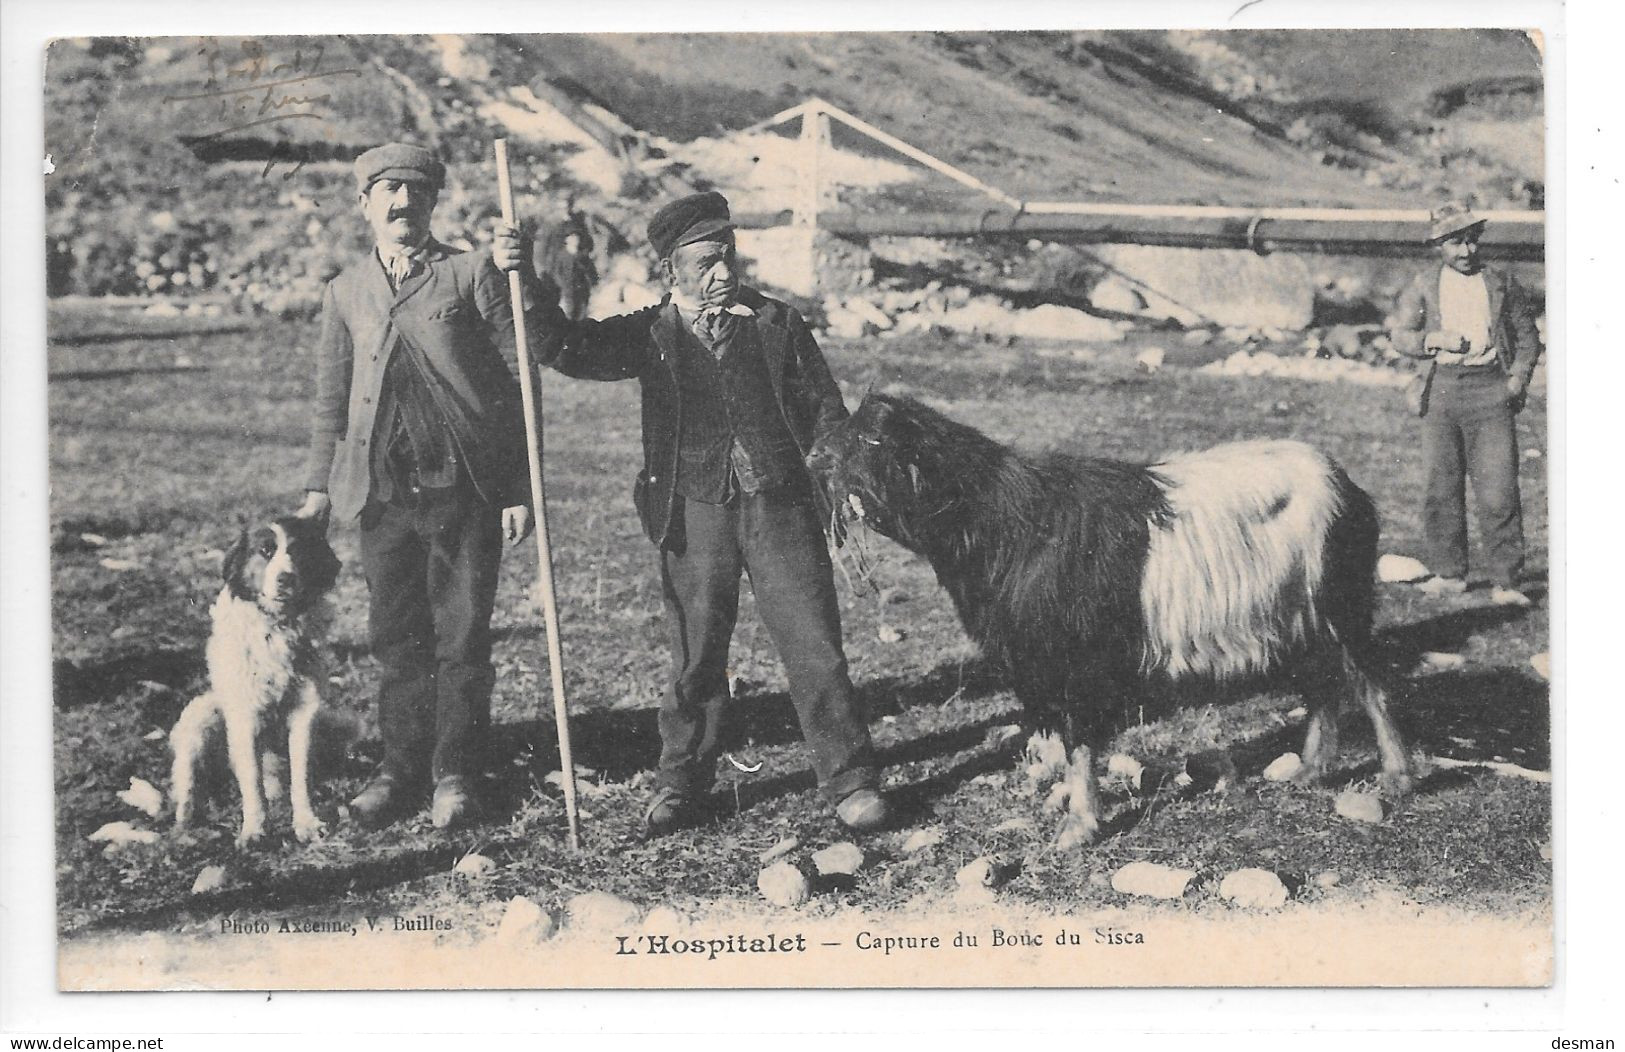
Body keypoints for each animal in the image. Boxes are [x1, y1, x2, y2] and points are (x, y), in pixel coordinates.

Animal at [169, 517, 341, 845]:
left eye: (298, 550)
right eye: (266, 551)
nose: (286, 578)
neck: (278, 626)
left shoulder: (305, 712)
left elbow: (300, 774)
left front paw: (306, 823)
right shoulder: (244, 717)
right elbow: (252, 779)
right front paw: (254, 830)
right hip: (202, 719)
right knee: (189, 785)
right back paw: (188, 823)